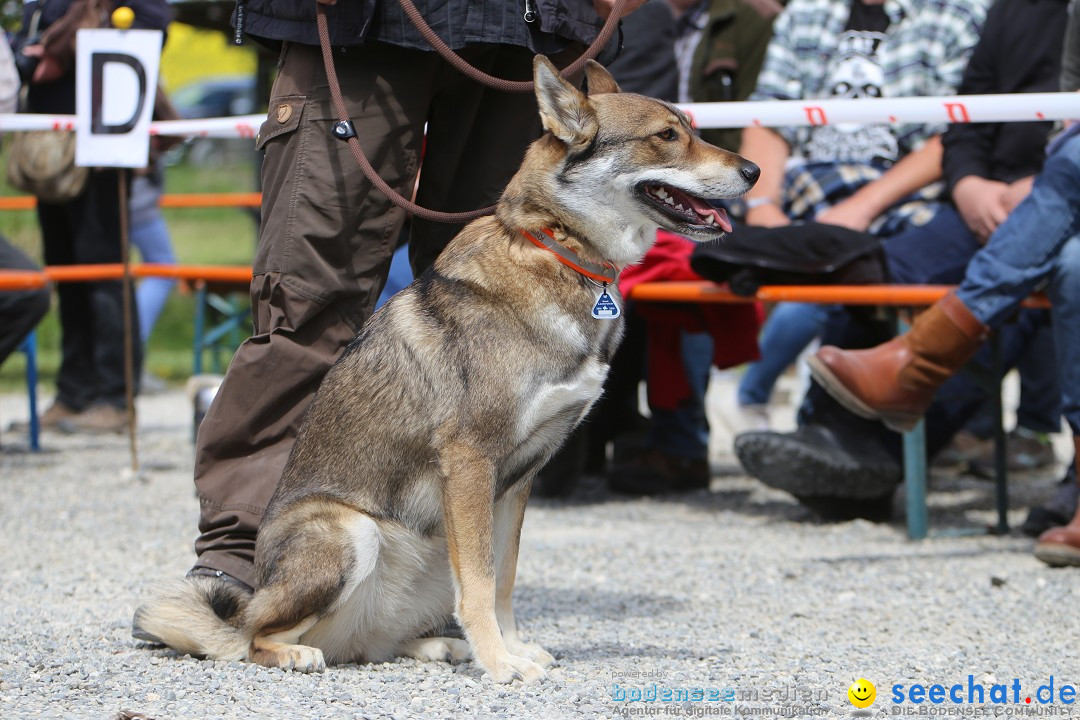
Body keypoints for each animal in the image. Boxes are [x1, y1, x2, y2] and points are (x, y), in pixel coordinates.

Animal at [135, 57, 760, 686]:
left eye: (691, 127)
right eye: (666, 136)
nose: (753, 170)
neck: (558, 249)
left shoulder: (516, 482)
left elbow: (503, 578)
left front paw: (512, 648)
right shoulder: (470, 463)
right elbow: (481, 583)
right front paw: (499, 662)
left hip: (431, 552)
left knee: (368, 644)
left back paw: (434, 646)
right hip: (349, 532)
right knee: (255, 635)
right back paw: (293, 652)